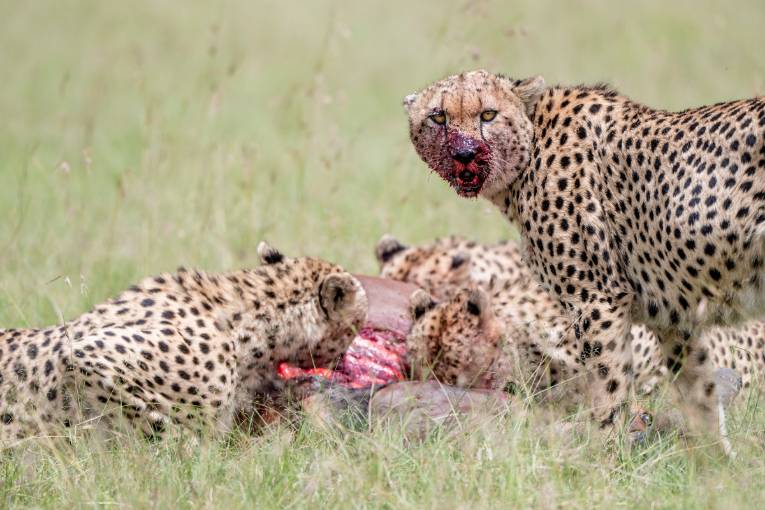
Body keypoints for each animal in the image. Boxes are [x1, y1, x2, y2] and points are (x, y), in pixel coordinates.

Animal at [402, 68, 765, 450]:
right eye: (438, 117)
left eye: (488, 114)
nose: (465, 153)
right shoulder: (674, 314)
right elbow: (700, 392)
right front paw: (716, 458)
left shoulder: (598, 301)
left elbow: (609, 384)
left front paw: (607, 450)